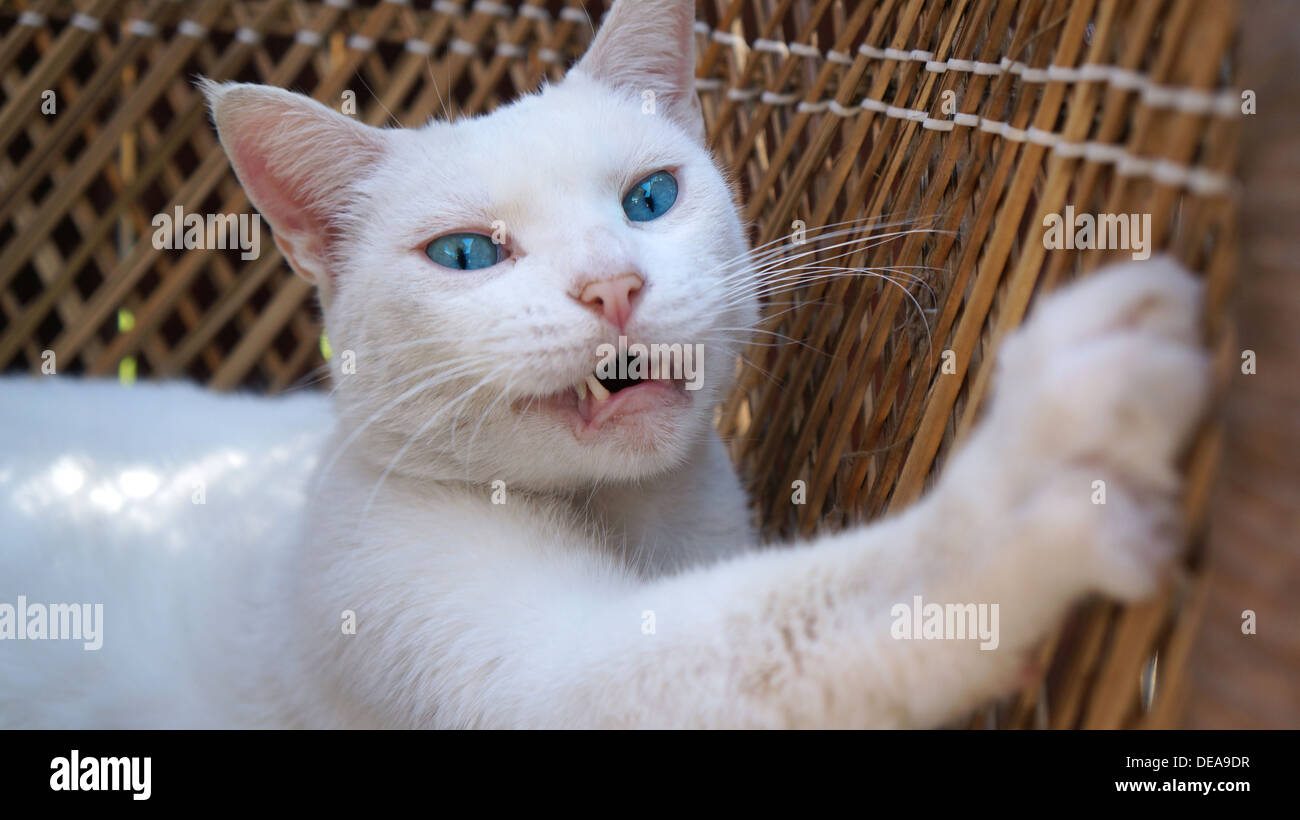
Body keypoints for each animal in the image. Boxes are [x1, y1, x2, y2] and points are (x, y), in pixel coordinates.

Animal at [0, 0, 1206, 732]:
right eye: (467, 254)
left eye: (649, 198)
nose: (612, 286)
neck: (631, 522)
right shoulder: (424, 614)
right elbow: (781, 624)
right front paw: (1030, 478)